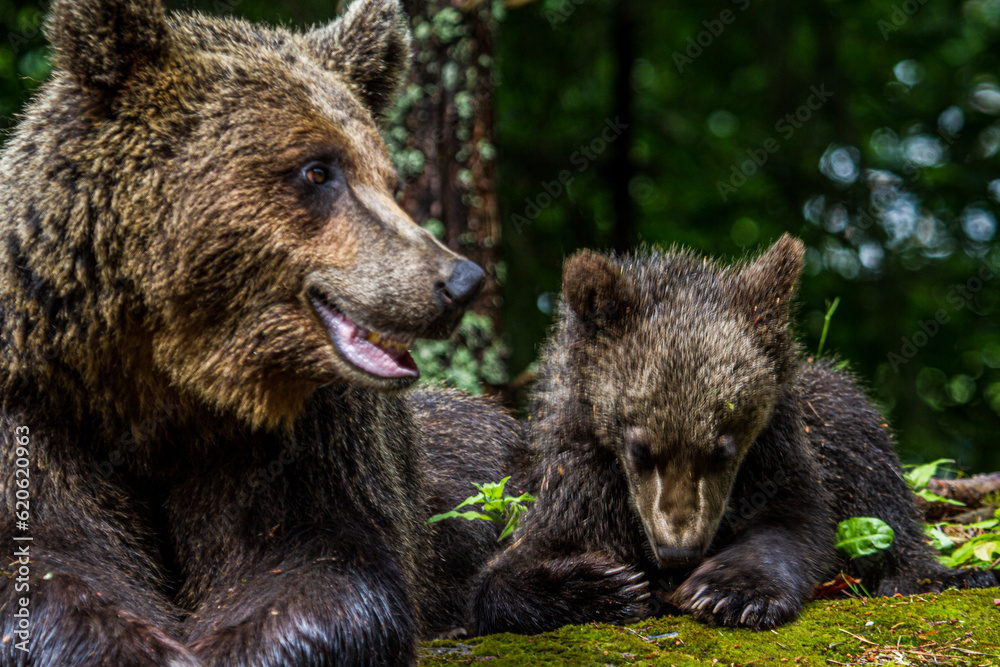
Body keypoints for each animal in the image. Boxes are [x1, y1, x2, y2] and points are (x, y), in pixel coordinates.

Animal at [0, 0, 508, 664]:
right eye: (318, 170)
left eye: (388, 178)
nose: (459, 280)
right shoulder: (43, 402)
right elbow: (53, 559)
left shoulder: (299, 440)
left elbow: (314, 561)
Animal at [472, 235, 995, 636]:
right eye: (640, 448)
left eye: (722, 449)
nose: (677, 550)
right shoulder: (576, 477)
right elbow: (507, 571)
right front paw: (608, 584)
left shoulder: (780, 455)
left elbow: (794, 525)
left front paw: (728, 592)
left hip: (840, 417)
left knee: (884, 501)